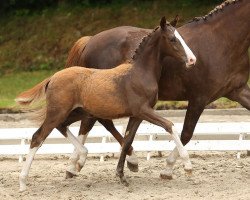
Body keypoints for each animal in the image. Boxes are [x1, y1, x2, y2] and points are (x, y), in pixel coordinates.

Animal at [15, 17, 195, 191]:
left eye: (181, 37)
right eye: (172, 39)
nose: (192, 60)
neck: (139, 73)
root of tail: (52, 77)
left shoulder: (137, 115)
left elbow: (127, 140)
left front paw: (122, 175)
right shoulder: (143, 110)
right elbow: (169, 125)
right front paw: (187, 166)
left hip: (76, 112)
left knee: (62, 126)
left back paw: (80, 157)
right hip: (58, 112)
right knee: (38, 137)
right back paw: (23, 183)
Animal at [64, 0, 250, 178]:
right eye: (173, 40)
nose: (191, 60)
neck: (221, 41)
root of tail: (90, 40)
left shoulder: (237, 90)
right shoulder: (199, 98)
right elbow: (186, 134)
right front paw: (169, 169)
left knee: (95, 122)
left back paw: (80, 164)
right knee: (95, 121)